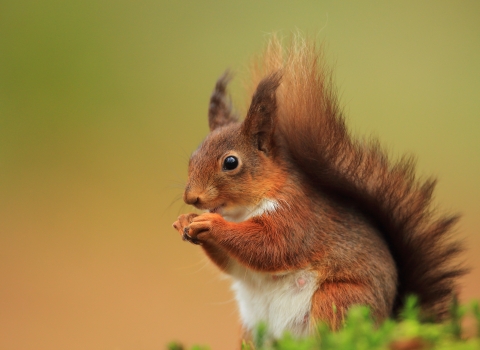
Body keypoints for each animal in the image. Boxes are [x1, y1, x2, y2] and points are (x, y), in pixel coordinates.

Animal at [172, 36, 464, 340]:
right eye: (193, 156)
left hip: (336, 299)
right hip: (253, 329)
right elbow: (231, 262)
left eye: (231, 162)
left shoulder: (297, 215)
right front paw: (185, 221)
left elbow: (271, 246)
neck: (242, 211)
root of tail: (387, 321)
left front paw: (211, 224)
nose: (191, 197)